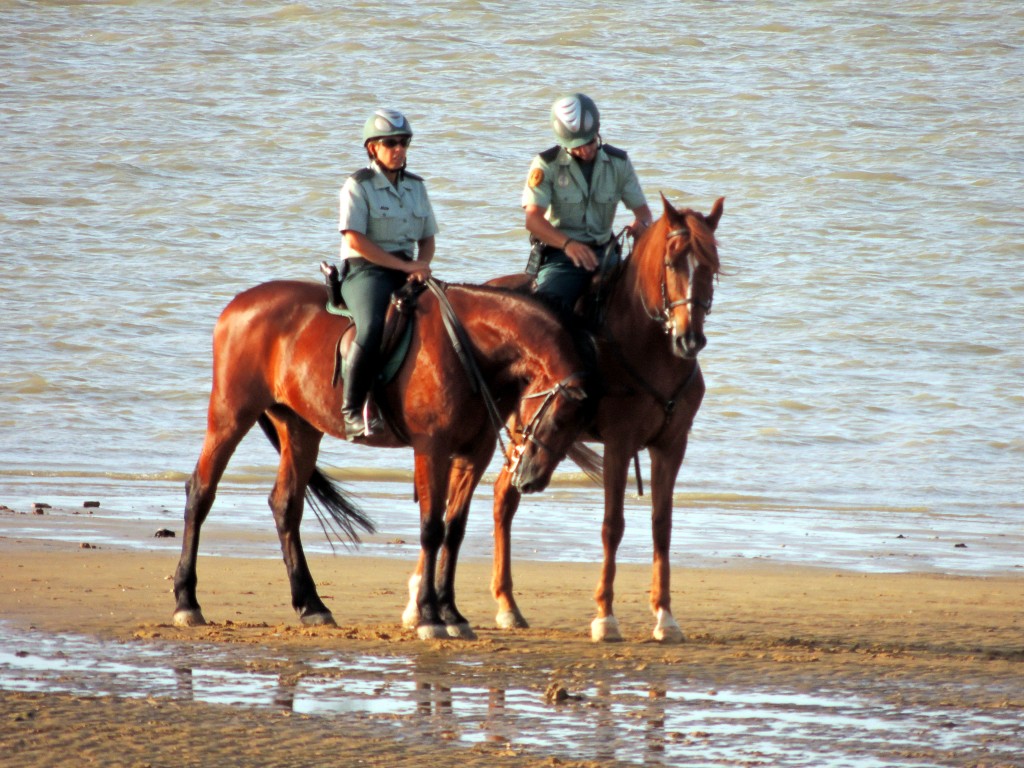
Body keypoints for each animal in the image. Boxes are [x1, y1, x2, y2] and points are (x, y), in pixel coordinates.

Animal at [169, 280, 593, 638]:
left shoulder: (475, 453)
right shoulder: (431, 448)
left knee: (285, 505)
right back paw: (187, 601)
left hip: (300, 427)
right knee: (201, 493)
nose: (530, 479)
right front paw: (429, 615)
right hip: (230, 415)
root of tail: (239, 303)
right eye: (560, 418)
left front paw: (451, 613)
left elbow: (453, 530)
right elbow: (431, 529)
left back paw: (311, 604)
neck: (470, 348)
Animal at [485, 193, 720, 643]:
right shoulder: (619, 443)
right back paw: (497, 605)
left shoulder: (671, 445)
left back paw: (506, 605)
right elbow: (613, 525)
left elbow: (662, 524)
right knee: (501, 497)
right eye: (671, 263)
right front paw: (605, 617)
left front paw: (665, 616)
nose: (689, 338)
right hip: (516, 429)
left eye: (713, 265)